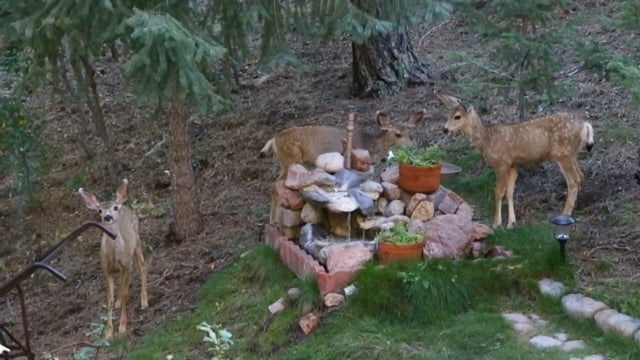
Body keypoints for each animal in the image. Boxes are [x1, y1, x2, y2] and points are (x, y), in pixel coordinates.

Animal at [79, 179, 149, 338]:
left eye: (115, 208)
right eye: (100, 210)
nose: (108, 217)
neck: (115, 255)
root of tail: (125, 205)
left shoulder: (127, 265)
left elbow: (125, 294)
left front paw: (122, 327)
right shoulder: (106, 269)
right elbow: (109, 299)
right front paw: (108, 331)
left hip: (137, 239)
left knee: (142, 265)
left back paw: (144, 301)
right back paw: (119, 303)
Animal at [436, 91, 596, 229]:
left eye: (457, 116)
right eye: (449, 114)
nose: (444, 129)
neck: (486, 140)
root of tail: (585, 124)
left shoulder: (501, 163)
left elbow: (498, 192)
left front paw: (496, 224)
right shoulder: (513, 165)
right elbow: (510, 192)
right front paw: (511, 223)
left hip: (562, 153)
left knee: (573, 181)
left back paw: (565, 215)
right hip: (572, 154)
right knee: (581, 176)